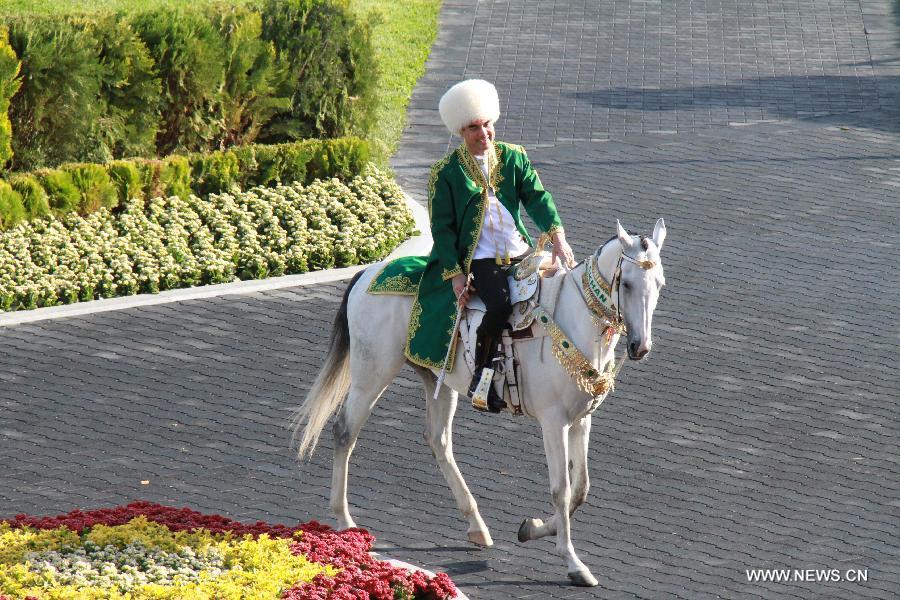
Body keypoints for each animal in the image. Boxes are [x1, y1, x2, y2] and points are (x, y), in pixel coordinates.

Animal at [292, 219, 664, 584]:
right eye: (627, 283)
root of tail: (368, 273)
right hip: (372, 375)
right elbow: (561, 489)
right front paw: (573, 562)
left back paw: (476, 526)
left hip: (435, 379)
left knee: (438, 441)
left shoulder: (581, 419)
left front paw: (532, 528)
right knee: (344, 432)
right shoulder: (553, 422)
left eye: (659, 284)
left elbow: (581, 489)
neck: (573, 322)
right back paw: (344, 520)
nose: (640, 347)